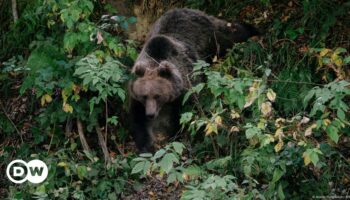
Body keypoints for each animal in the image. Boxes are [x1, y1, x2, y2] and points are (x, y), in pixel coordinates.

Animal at [129, 7, 260, 152]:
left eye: (158, 95)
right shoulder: (137, 99)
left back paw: (254, 31)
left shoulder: (185, 90)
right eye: (144, 96)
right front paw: (146, 147)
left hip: (211, 38)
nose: (151, 114)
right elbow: (138, 122)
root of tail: (192, 10)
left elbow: (185, 115)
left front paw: (177, 137)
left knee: (229, 36)